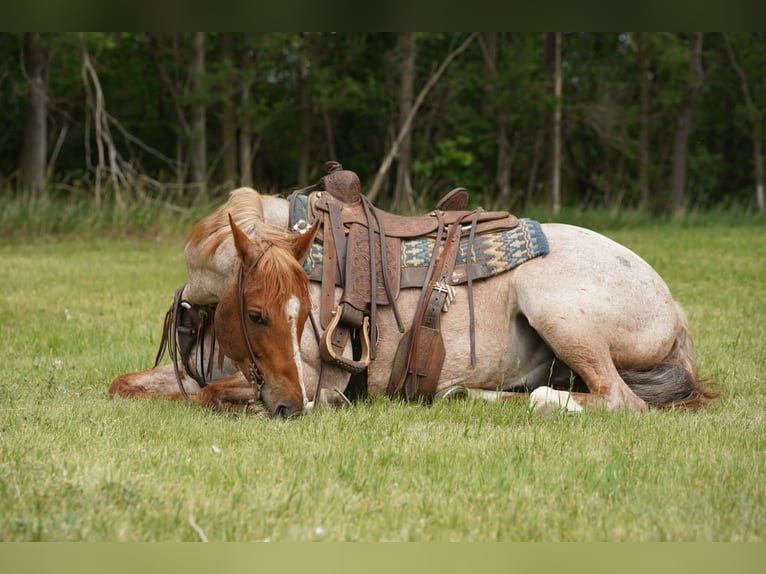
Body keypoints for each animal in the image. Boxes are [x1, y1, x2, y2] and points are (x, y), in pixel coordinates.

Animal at [109, 183, 715, 418]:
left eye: (303, 315)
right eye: (255, 315)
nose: (291, 407)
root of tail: (676, 312)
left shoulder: (314, 374)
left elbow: (211, 394)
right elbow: (126, 385)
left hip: (558, 310)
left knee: (615, 399)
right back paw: (470, 395)